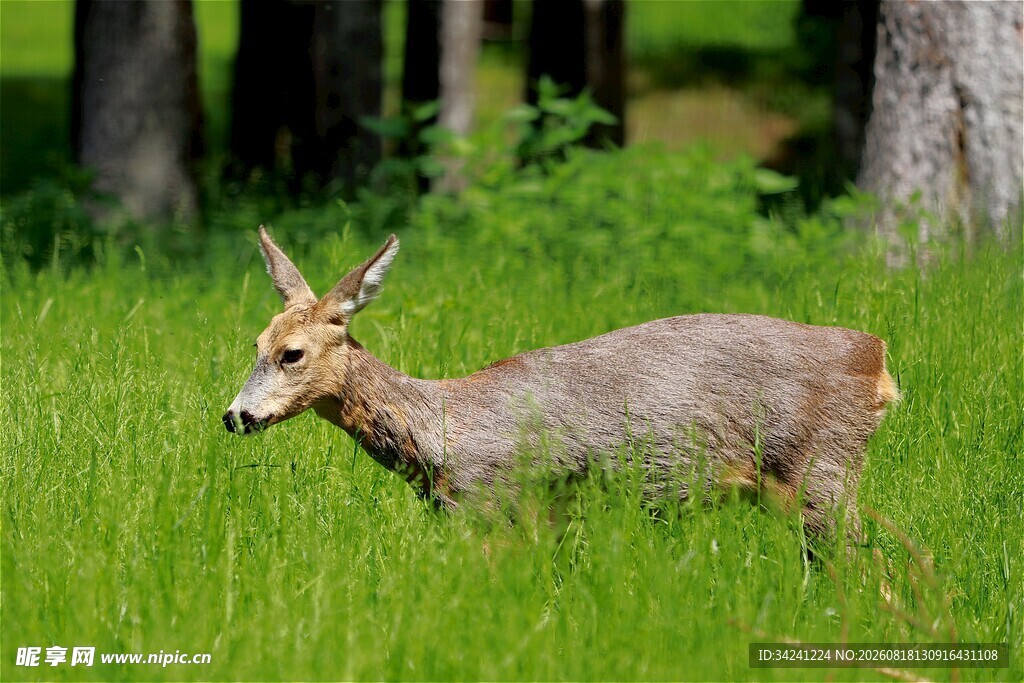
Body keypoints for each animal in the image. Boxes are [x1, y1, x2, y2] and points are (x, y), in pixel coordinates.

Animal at [223, 227, 900, 547]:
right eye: (254, 344)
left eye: (291, 353)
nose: (235, 415)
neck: (439, 426)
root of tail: (878, 363)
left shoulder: (494, 501)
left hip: (819, 473)